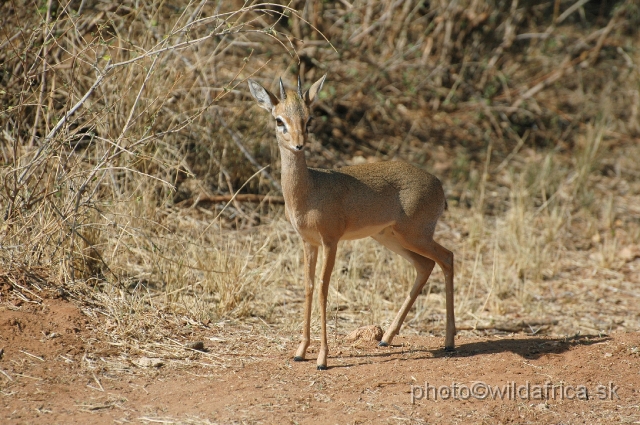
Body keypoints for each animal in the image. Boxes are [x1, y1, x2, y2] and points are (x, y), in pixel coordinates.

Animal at [246, 73, 456, 368]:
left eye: (309, 118)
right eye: (279, 120)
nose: (299, 144)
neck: (309, 191)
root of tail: (438, 184)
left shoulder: (330, 241)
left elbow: (323, 290)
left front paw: (322, 358)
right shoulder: (308, 243)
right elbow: (309, 288)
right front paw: (300, 351)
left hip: (415, 235)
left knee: (447, 257)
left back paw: (449, 342)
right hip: (390, 237)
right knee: (425, 265)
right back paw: (386, 338)